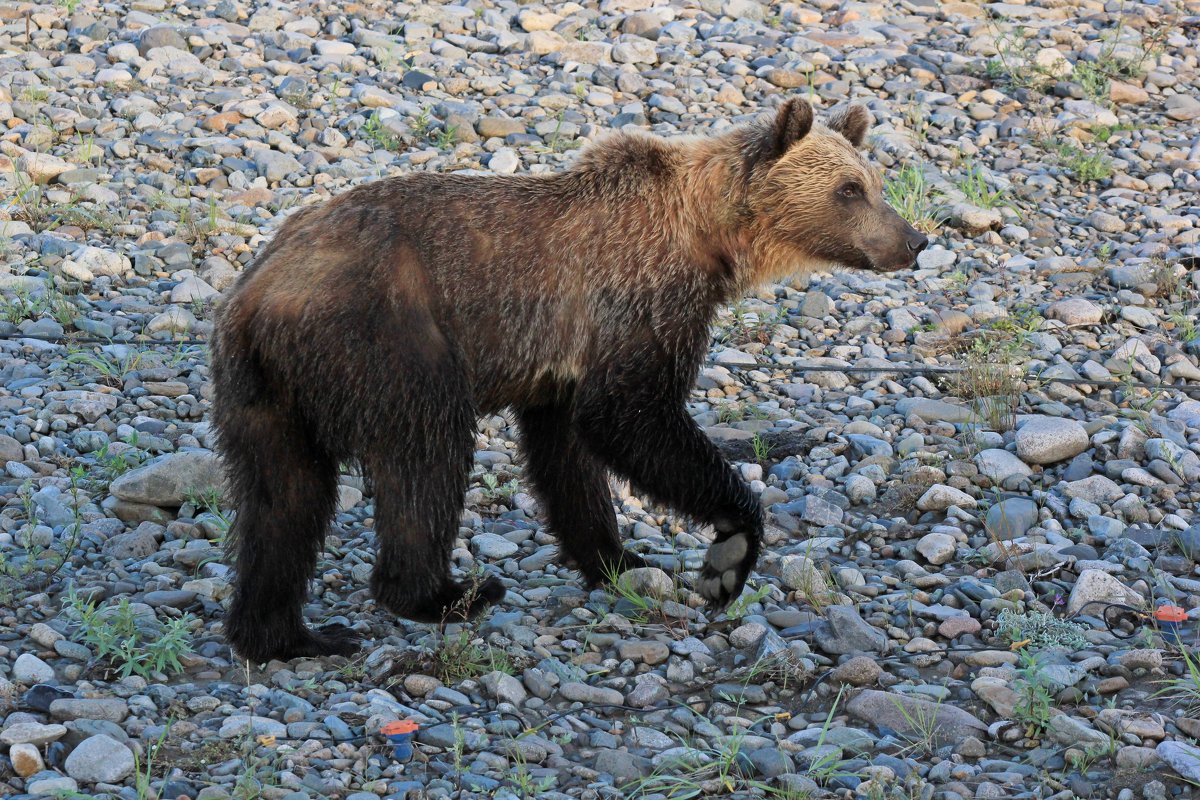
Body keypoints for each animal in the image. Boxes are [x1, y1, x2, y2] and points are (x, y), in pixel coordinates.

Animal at [213, 98, 926, 662]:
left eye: (874, 179)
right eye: (850, 189)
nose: (913, 240)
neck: (710, 237)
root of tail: (260, 297)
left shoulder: (562, 364)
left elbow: (569, 459)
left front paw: (620, 559)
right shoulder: (640, 301)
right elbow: (632, 417)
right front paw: (728, 553)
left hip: (264, 392)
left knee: (284, 499)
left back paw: (287, 635)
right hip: (388, 336)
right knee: (426, 450)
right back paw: (445, 592)